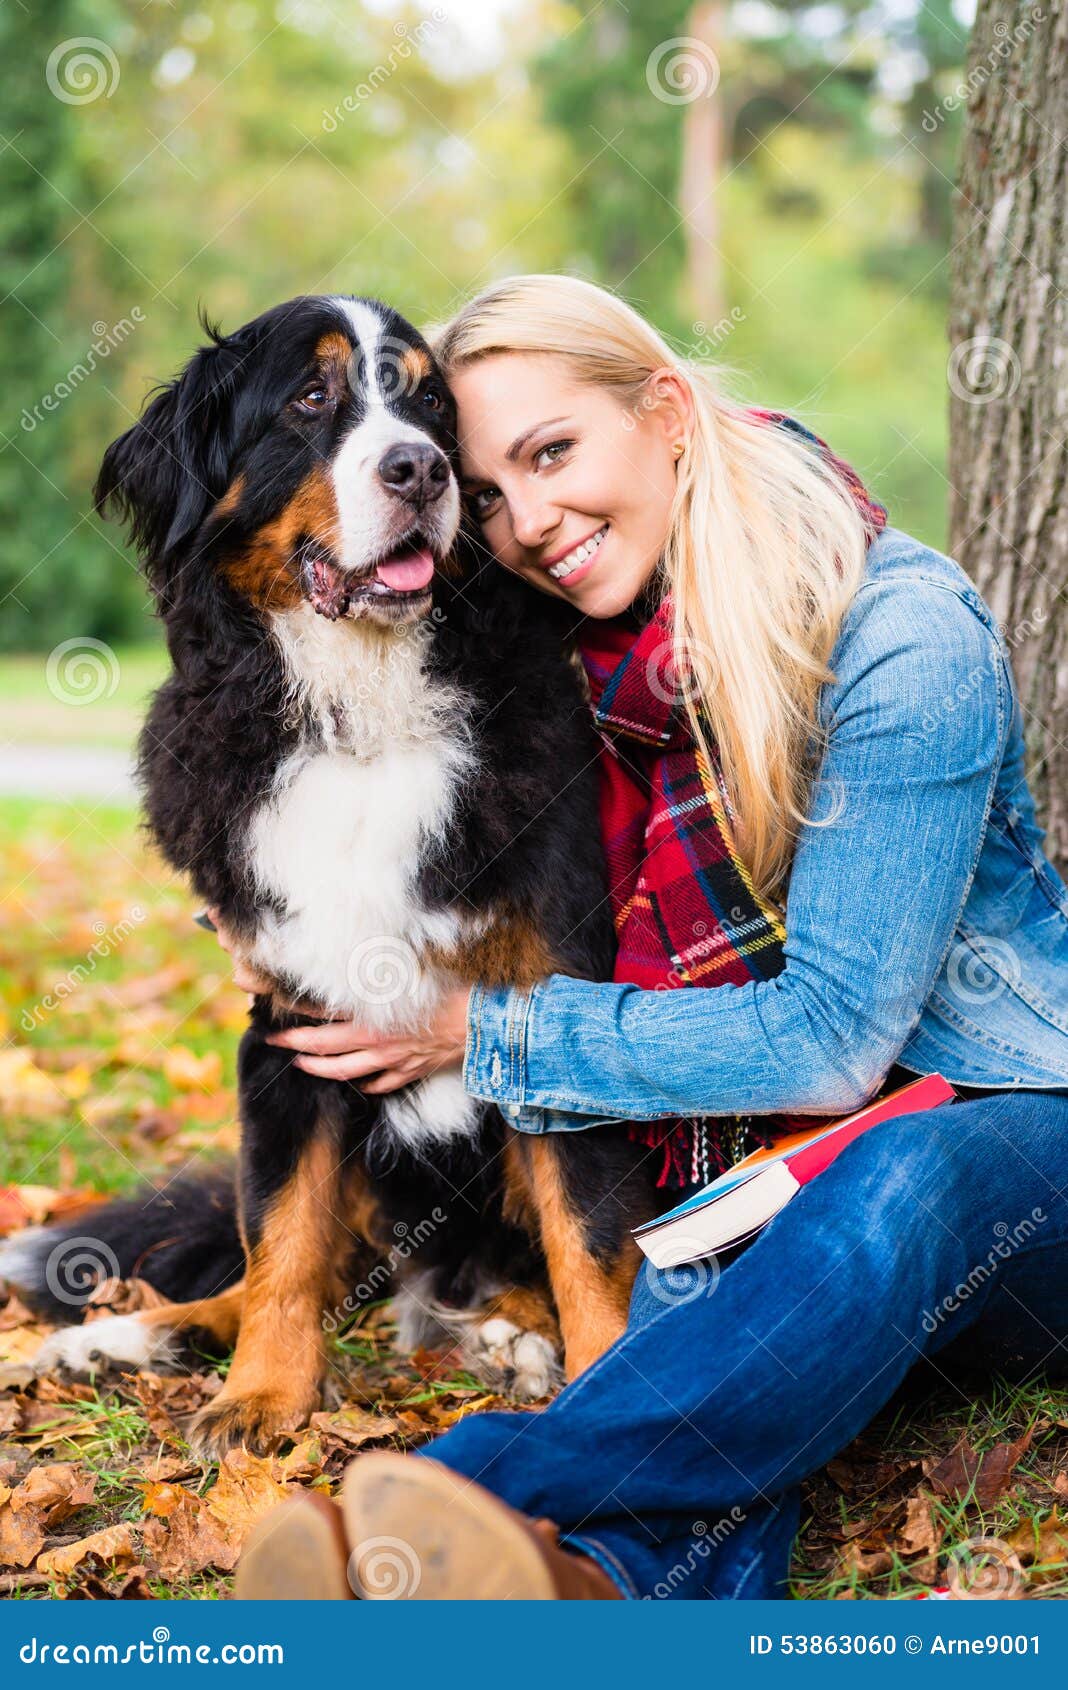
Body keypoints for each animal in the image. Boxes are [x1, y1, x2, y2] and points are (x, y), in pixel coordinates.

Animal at [2, 290, 659, 1453]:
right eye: (310, 398)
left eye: (431, 404)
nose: (420, 471)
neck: (360, 713)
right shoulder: (290, 1027)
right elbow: (284, 1239)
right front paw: (263, 1396)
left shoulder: (552, 995)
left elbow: (588, 1234)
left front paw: (608, 1380)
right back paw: (126, 1337)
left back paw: (514, 1333)